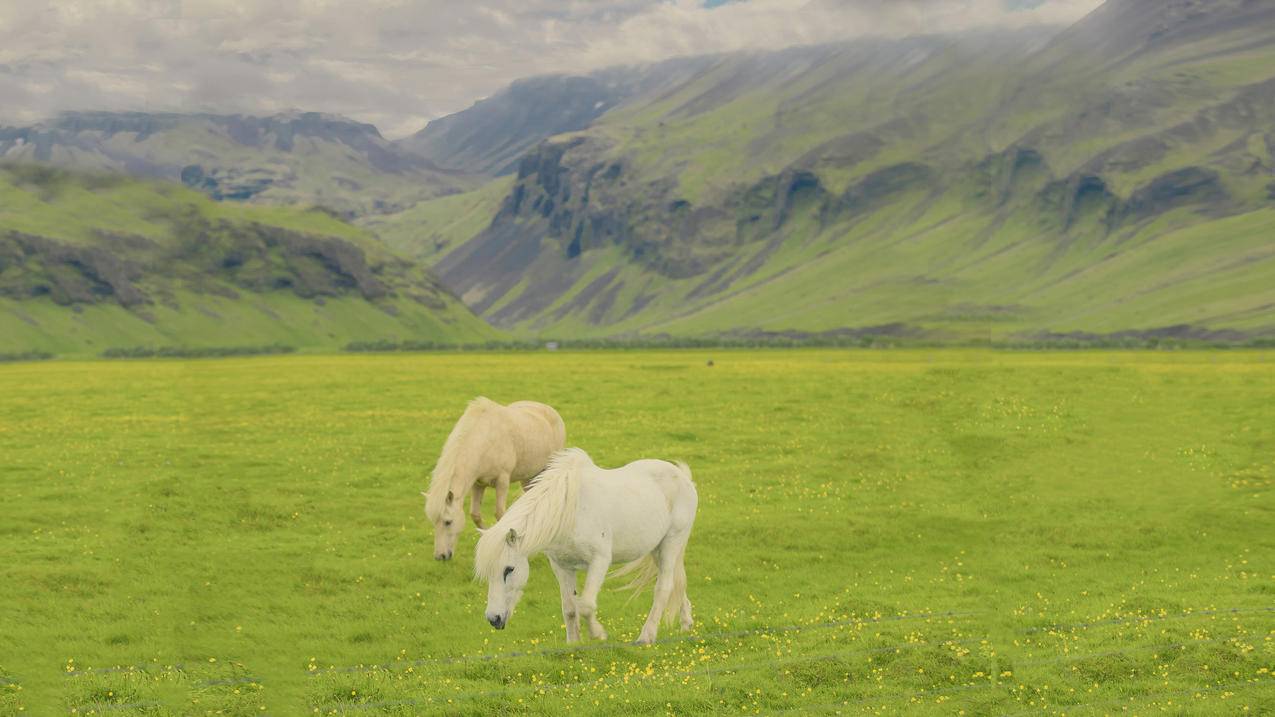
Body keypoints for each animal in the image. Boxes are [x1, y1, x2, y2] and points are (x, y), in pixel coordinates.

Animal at [425, 395, 566, 558]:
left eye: (448, 522)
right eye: (433, 521)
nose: (440, 556)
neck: (485, 439)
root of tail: (550, 410)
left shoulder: (502, 481)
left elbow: (500, 514)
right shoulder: (478, 484)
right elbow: (475, 515)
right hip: (528, 477)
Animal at [476, 446, 698, 643]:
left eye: (509, 569)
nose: (493, 619)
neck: (570, 511)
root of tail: (684, 478)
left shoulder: (599, 561)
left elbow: (586, 605)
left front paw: (598, 634)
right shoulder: (562, 566)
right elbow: (569, 608)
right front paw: (573, 643)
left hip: (672, 543)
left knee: (664, 587)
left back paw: (646, 636)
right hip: (657, 550)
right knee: (677, 582)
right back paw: (686, 623)